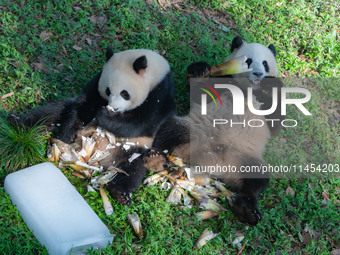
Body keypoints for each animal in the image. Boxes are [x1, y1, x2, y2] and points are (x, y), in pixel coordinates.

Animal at [9, 47, 177, 206]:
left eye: (125, 93)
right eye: (108, 90)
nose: (113, 107)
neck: (154, 71)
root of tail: (100, 160)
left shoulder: (161, 94)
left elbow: (142, 122)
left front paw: (105, 115)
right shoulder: (97, 81)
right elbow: (84, 105)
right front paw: (65, 136)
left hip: (132, 148)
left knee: (133, 169)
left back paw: (121, 193)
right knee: (52, 113)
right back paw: (17, 121)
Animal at [153, 36, 282, 225]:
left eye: (265, 64)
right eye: (249, 61)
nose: (258, 74)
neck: (249, 91)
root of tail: (207, 159)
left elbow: (276, 124)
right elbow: (201, 91)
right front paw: (200, 70)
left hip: (242, 158)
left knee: (257, 179)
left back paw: (248, 210)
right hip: (193, 128)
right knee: (167, 131)